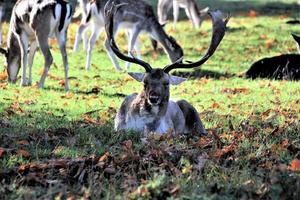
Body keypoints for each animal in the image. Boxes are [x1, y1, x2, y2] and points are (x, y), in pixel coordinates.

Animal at [105, 4, 230, 135]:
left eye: (166, 83)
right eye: (145, 82)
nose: (153, 98)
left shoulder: (170, 132)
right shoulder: (118, 128)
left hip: (195, 116)